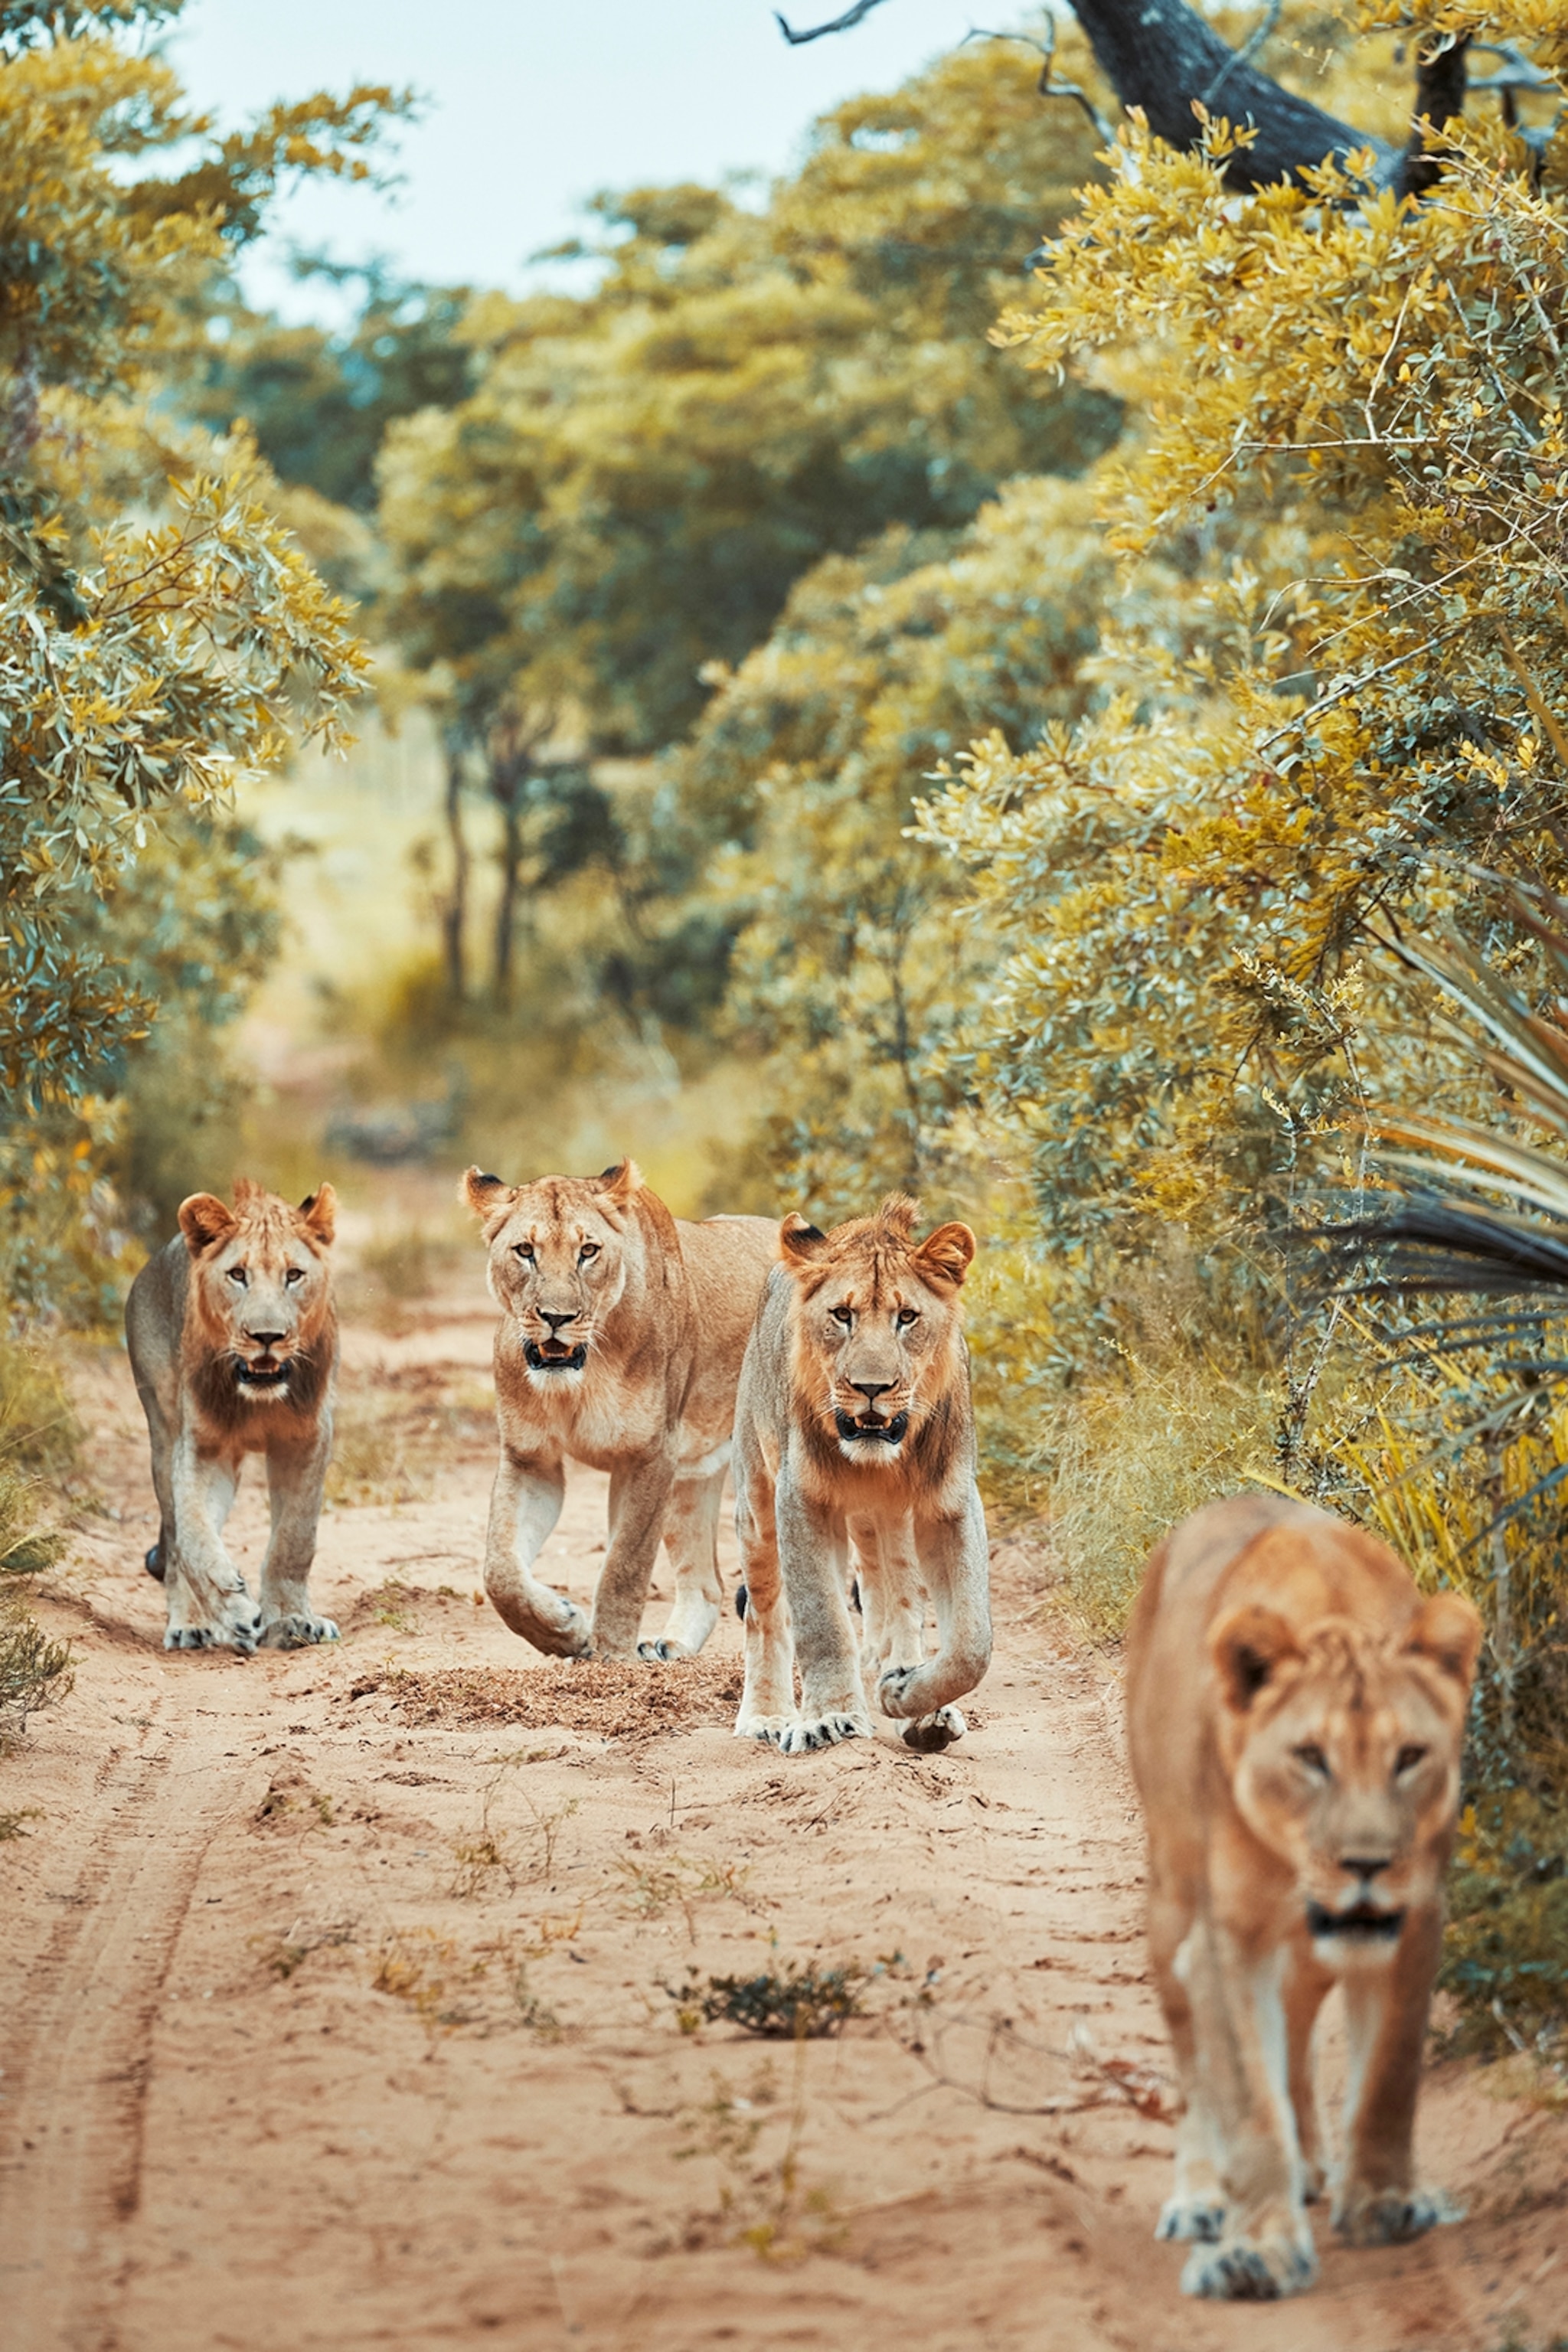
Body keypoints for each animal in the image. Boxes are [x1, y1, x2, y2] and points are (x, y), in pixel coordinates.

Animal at [125, 1179, 340, 1653]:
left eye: (294, 1275)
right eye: (238, 1275)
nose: (266, 1336)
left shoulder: (307, 1440)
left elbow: (295, 1539)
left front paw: (294, 1620)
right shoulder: (201, 1447)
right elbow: (192, 1537)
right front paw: (236, 1611)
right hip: (162, 1433)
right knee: (175, 1539)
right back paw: (193, 1625)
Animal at [463, 1159, 777, 1660]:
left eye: (588, 1251)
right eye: (525, 1251)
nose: (556, 1318)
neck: (581, 1376)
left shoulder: (649, 1457)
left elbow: (624, 1566)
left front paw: (611, 1657)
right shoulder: (531, 1459)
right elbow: (501, 1572)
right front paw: (563, 1630)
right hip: (693, 1475)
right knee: (707, 1582)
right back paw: (671, 1647)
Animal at [730, 1194, 991, 1755]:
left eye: (907, 1317)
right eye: (842, 1315)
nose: (872, 1387)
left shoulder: (950, 1503)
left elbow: (972, 1643)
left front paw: (905, 1693)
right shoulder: (800, 1498)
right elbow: (822, 1620)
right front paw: (831, 1718)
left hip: (890, 1523)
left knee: (899, 1597)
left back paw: (913, 1698)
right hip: (756, 1501)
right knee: (764, 1612)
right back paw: (766, 1715)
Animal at [1125, 1494, 1482, 2301]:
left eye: (1409, 1757)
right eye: (1310, 1758)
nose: (1367, 1864)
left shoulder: (1414, 1923)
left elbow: (1389, 2075)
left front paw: (1384, 2204)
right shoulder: (1227, 1940)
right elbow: (1249, 2104)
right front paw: (1259, 2251)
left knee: (1294, 2029)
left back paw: (1314, 2166)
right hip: (1170, 1903)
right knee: (1193, 2063)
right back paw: (1201, 2198)